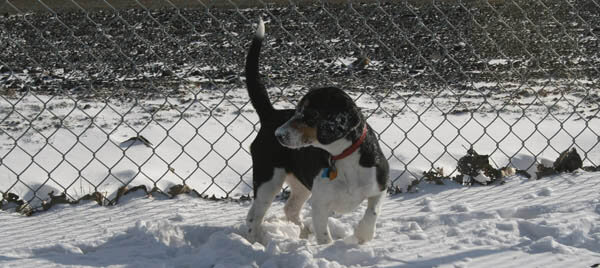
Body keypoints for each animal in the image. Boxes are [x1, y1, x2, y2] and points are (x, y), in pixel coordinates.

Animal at [245, 18, 390, 245]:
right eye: (297, 111)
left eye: (310, 115)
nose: (279, 135)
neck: (344, 158)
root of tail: (271, 115)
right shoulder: (320, 204)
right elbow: (324, 234)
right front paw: (329, 247)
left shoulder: (380, 186)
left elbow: (371, 214)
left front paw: (362, 237)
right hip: (267, 179)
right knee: (254, 215)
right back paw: (254, 242)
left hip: (300, 184)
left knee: (289, 208)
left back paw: (303, 232)